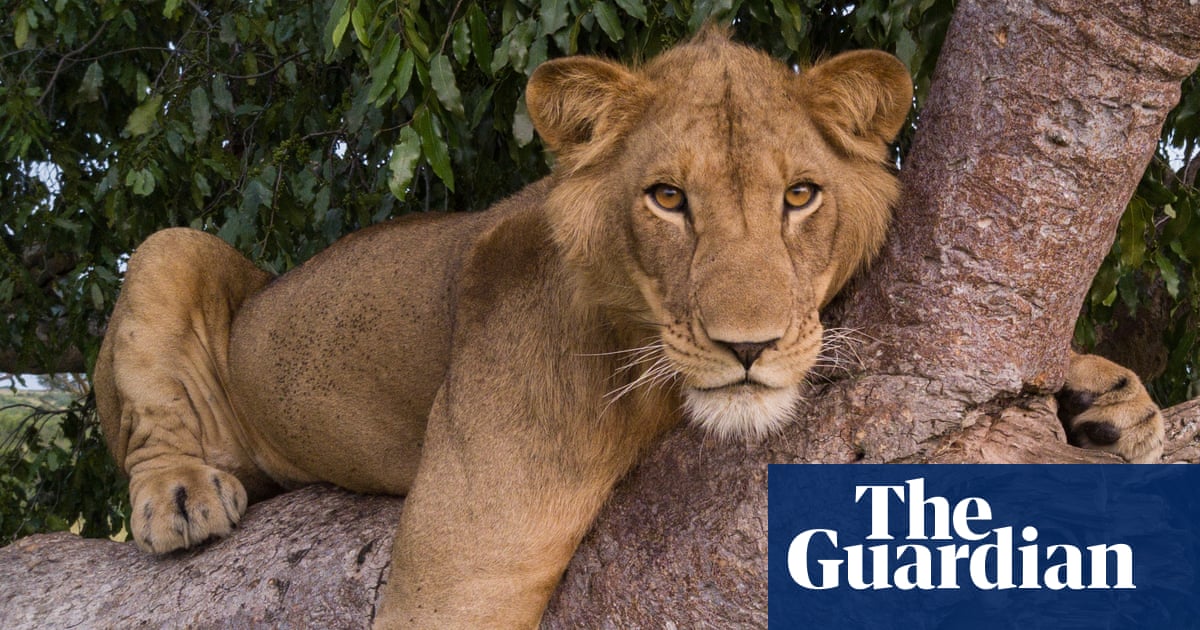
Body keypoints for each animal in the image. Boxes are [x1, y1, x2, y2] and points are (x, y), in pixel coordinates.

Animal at [91, 28, 1161, 628]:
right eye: (667, 199)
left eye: (801, 196)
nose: (747, 348)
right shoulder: (457, 580)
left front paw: (1111, 399)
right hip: (168, 248)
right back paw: (182, 497)